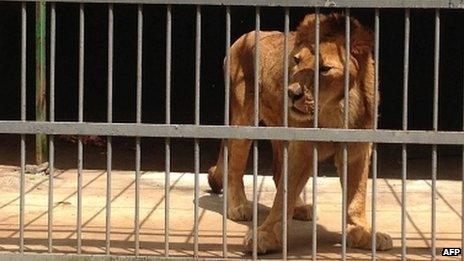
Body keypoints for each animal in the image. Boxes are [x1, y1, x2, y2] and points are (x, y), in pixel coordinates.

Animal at [207, 13, 392, 253]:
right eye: (296, 61)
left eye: (324, 69)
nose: (292, 92)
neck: (335, 110)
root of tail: (241, 38)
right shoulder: (302, 144)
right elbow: (284, 194)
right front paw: (265, 235)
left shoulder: (357, 148)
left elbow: (356, 196)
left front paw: (363, 232)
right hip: (243, 117)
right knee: (235, 166)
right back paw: (238, 206)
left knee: (278, 171)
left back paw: (300, 208)